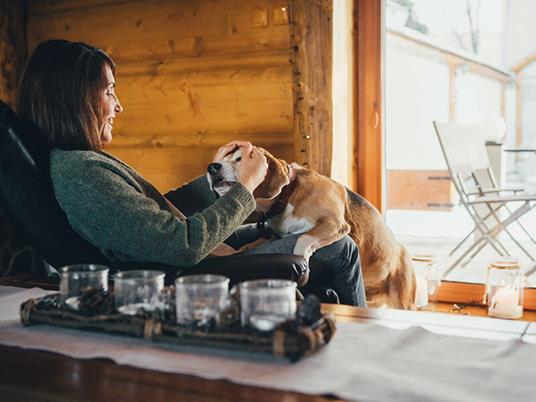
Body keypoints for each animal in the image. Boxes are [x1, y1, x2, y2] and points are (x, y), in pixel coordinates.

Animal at [207, 147, 416, 308]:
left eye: (239, 159)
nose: (212, 167)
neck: (289, 194)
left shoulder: (333, 223)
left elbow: (303, 237)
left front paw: (304, 264)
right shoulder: (275, 236)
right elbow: (250, 245)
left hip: (403, 300)